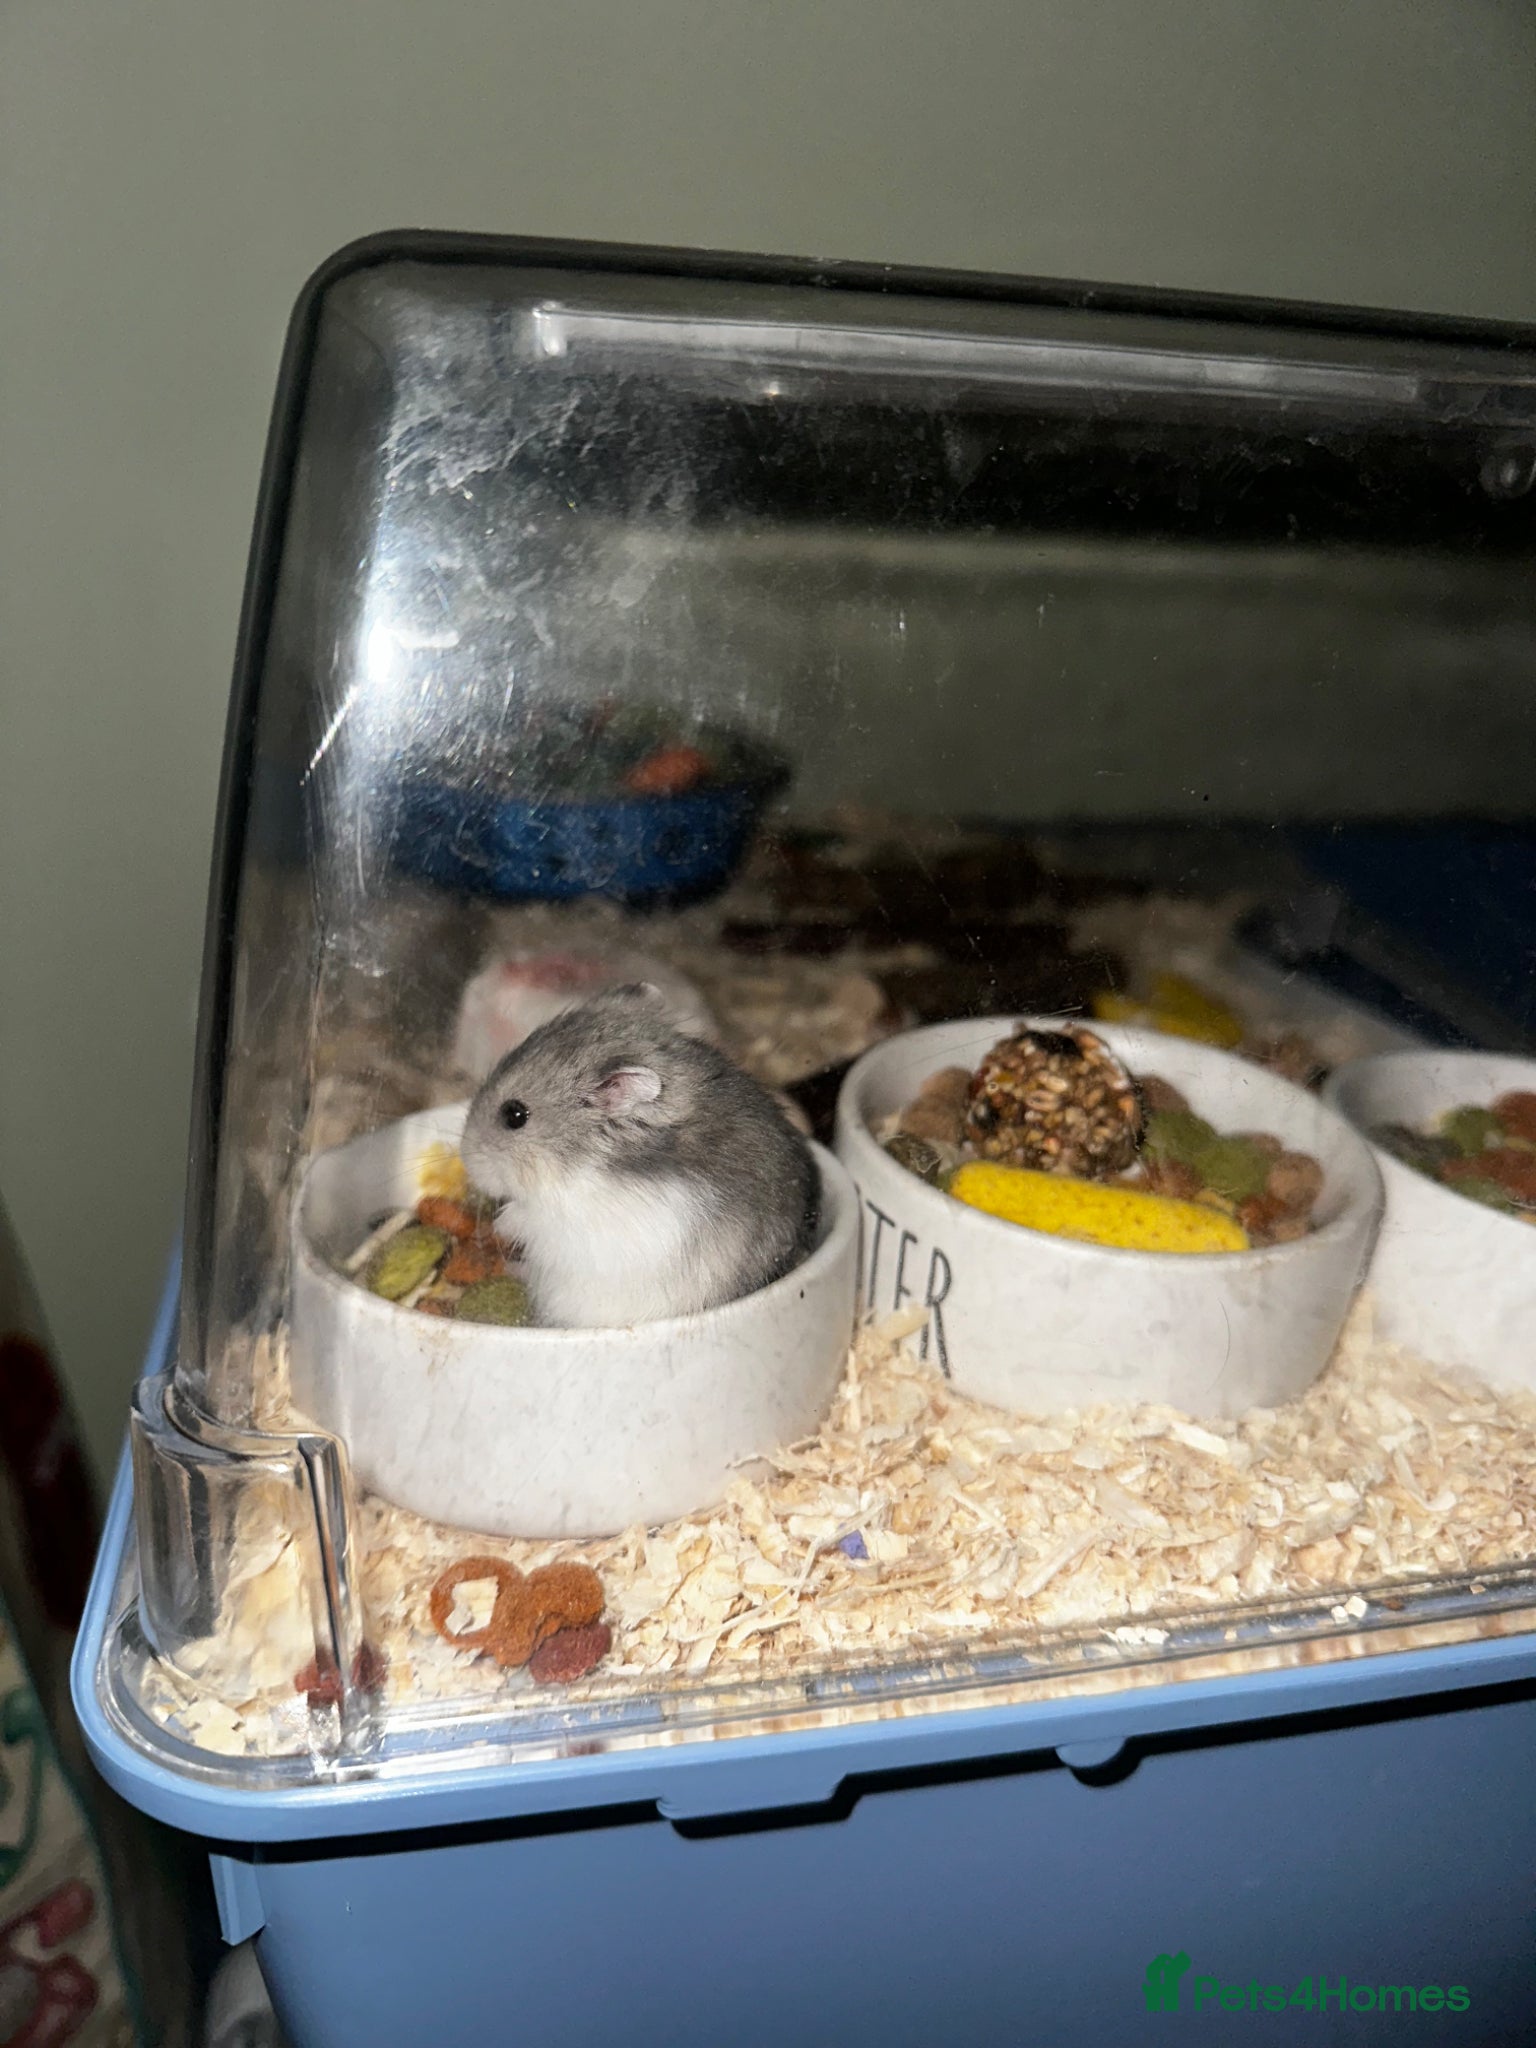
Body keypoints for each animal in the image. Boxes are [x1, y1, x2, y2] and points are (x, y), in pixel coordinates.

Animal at [459, 984, 819, 1328]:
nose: (465, 1158)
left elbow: (524, 1217)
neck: (579, 1156)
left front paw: (498, 1222)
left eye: (514, 1115)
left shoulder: (566, 1216)